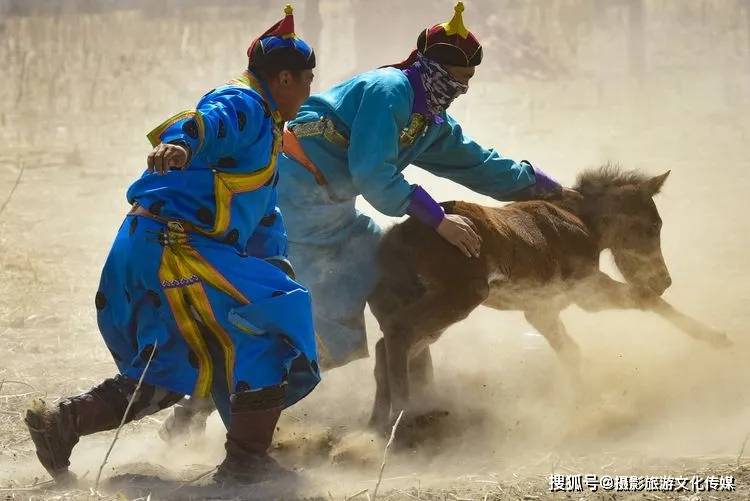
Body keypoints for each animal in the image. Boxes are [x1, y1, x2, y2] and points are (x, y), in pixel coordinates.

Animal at [370, 164, 736, 430]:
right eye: (651, 227)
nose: (663, 279)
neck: (579, 219)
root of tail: (399, 237)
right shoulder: (587, 290)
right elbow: (645, 300)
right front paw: (718, 339)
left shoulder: (541, 310)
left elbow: (571, 351)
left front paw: (584, 403)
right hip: (458, 298)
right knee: (399, 333)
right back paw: (406, 417)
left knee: (388, 344)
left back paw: (375, 427)